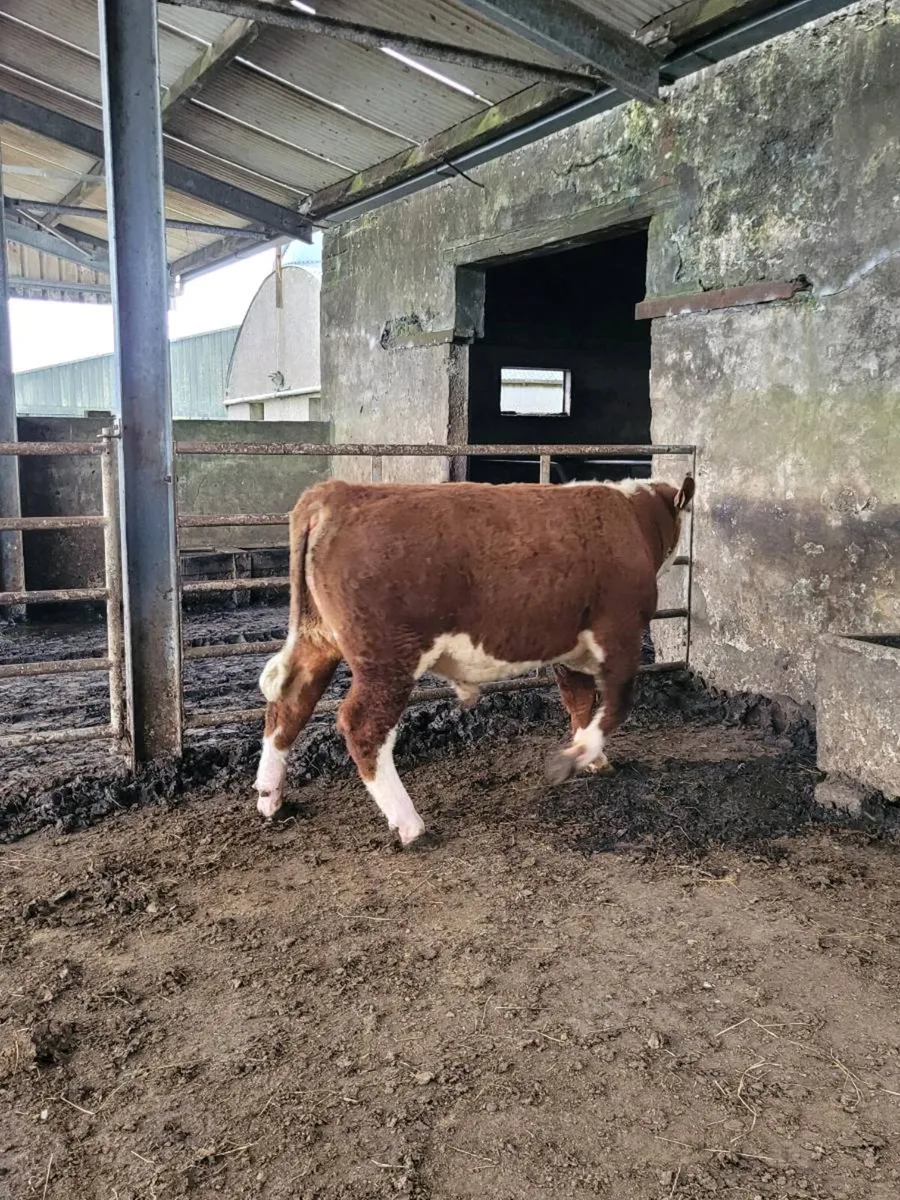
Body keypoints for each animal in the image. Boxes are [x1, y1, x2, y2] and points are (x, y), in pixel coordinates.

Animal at [254, 474, 695, 845]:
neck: (633, 516)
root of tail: (338, 492)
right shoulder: (620, 632)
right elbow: (616, 704)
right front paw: (573, 759)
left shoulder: (568, 647)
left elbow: (581, 703)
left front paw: (593, 758)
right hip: (387, 656)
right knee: (363, 726)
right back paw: (410, 826)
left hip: (317, 640)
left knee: (290, 702)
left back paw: (271, 798)